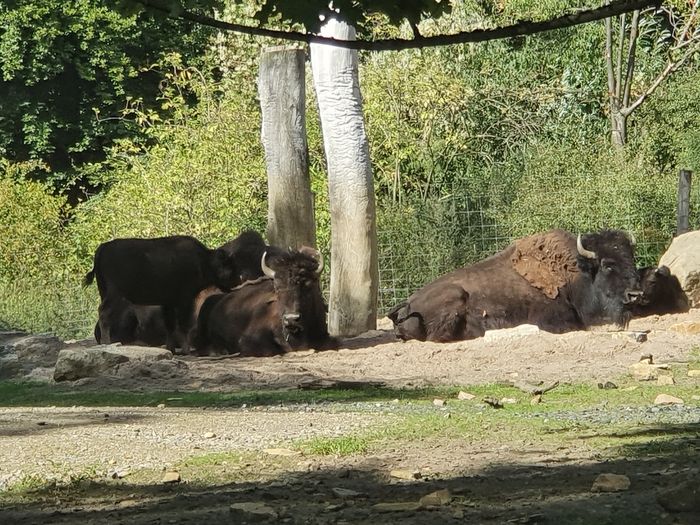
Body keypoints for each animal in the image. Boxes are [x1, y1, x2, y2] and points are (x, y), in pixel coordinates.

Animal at [82, 234, 238, 350]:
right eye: (228, 265)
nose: (238, 280)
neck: (204, 261)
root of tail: (103, 248)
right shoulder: (184, 300)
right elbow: (182, 324)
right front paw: (186, 349)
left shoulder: (168, 303)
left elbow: (170, 325)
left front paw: (171, 348)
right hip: (114, 295)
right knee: (104, 313)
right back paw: (107, 342)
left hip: (104, 292)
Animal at [388, 227, 644, 342]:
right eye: (608, 265)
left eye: (631, 258)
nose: (635, 294)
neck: (576, 273)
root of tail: (408, 304)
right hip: (455, 294)